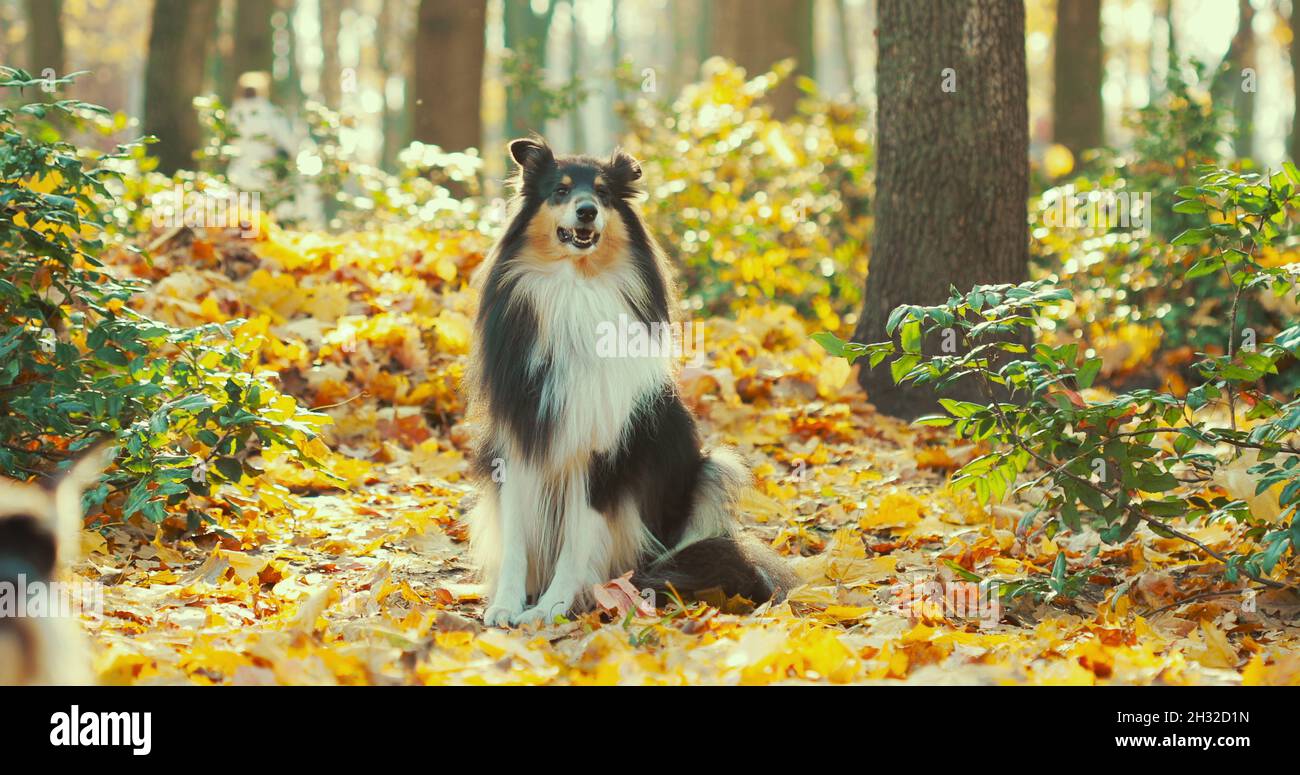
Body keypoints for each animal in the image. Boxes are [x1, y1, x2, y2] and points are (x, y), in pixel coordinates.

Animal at [462, 136, 795, 626]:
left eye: (602, 193)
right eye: (560, 190)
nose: (586, 212)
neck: (575, 288)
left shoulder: (603, 452)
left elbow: (578, 540)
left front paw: (553, 606)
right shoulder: (520, 438)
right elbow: (517, 541)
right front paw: (506, 605)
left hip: (713, 469)